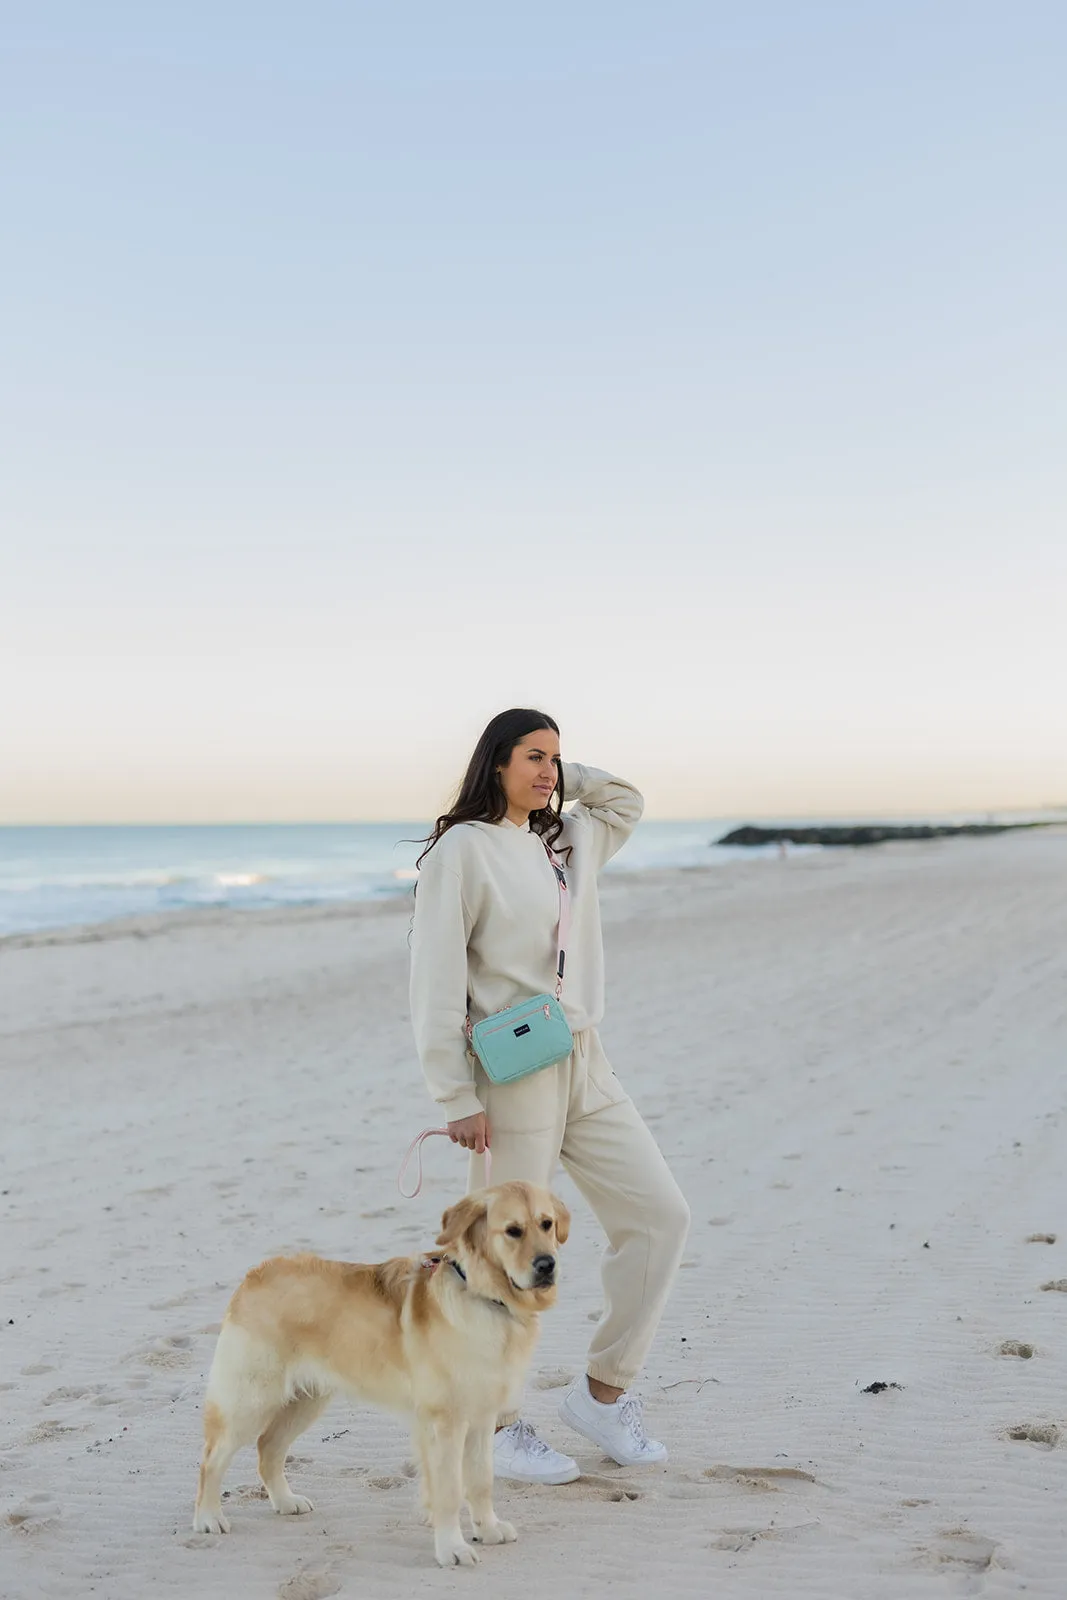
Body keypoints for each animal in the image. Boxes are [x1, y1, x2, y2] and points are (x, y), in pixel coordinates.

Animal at [195, 1184, 572, 1568]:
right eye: (513, 1231)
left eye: (546, 1224)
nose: (547, 1265)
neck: (484, 1296)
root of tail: (254, 1274)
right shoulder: (445, 1424)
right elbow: (450, 1491)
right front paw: (451, 1547)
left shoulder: (481, 1418)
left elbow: (481, 1481)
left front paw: (489, 1529)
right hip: (250, 1400)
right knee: (212, 1457)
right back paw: (209, 1517)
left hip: (307, 1400)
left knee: (267, 1447)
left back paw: (286, 1502)